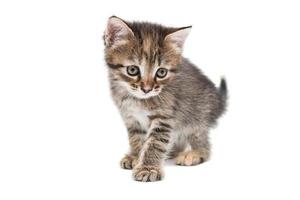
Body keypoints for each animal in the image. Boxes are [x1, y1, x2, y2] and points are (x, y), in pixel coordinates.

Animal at [103, 16, 227, 182]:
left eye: (161, 72)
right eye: (132, 70)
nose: (147, 89)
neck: (138, 99)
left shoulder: (164, 117)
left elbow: (155, 143)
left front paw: (148, 168)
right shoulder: (131, 118)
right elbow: (136, 138)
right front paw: (135, 156)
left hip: (197, 117)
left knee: (202, 141)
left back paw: (195, 153)